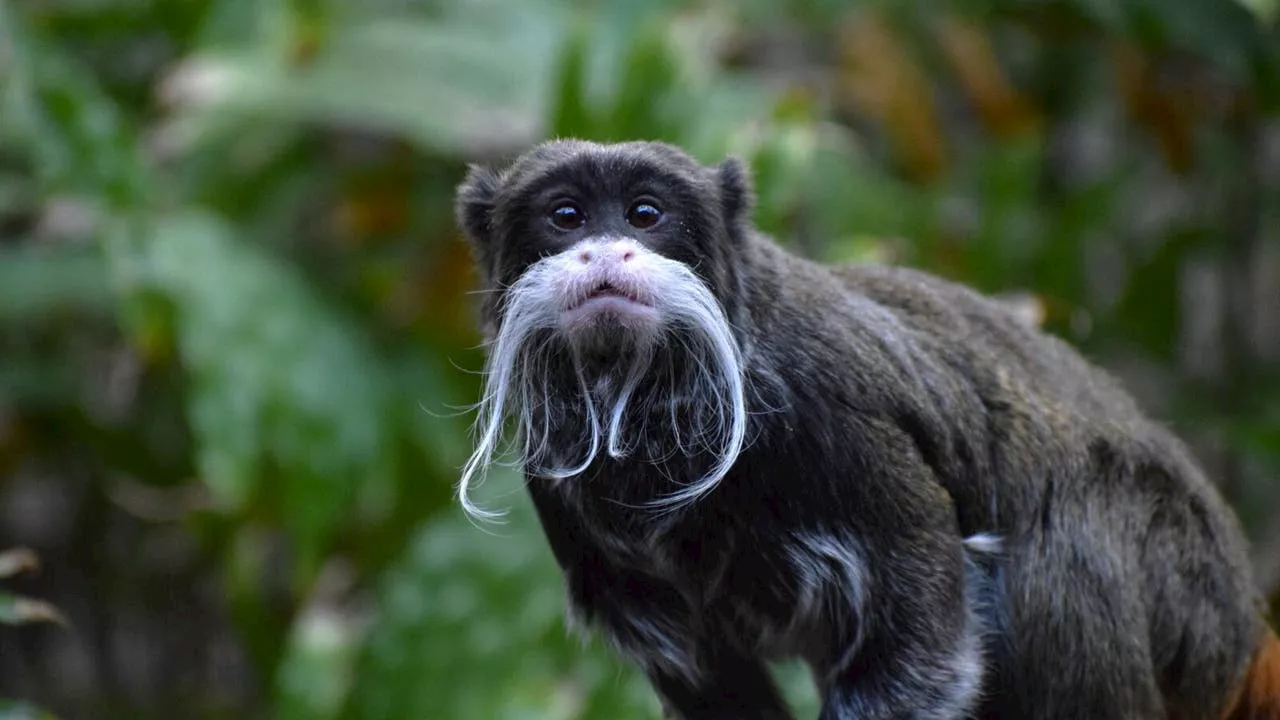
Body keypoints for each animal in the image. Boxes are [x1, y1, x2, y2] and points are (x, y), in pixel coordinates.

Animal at [453, 137, 1280, 712]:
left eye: (645, 215)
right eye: (566, 217)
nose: (605, 251)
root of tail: (1243, 629)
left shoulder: (833, 411)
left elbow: (923, 638)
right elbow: (709, 677)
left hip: (1177, 587)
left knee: (1058, 553)